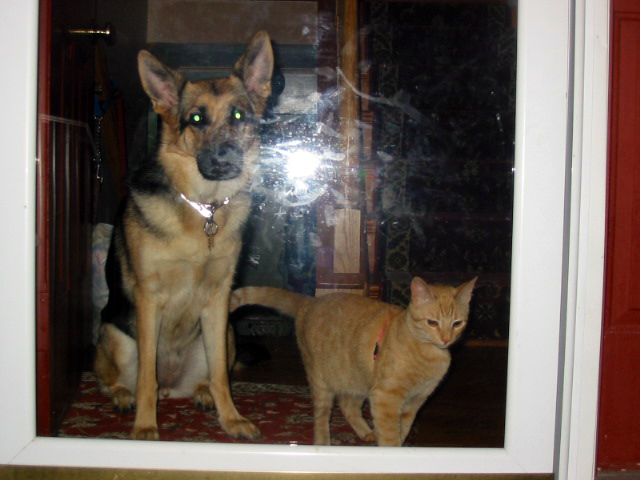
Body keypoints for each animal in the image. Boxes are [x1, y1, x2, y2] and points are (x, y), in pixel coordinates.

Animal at [93, 31, 272, 440]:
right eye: (196, 119)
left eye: (239, 115)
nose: (224, 158)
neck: (201, 209)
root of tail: (173, 388)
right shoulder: (149, 300)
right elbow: (146, 378)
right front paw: (145, 427)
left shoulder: (218, 300)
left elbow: (222, 375)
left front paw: (231, 418)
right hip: (116, 335)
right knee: (115, 378)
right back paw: (123, 396)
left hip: (226, 333)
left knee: (208, 376)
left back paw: (203, 395)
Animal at [229, 276, 476, 448]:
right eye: (432, 322)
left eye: (457, 323)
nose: (446, 339)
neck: (428, 354)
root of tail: (310, 300)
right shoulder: (385, 398)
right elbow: (391, 438)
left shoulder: (412, 405)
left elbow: (402, 432)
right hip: (322, 383)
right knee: (321, 417)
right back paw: (324, 444)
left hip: (356, 381)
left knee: (348, 407)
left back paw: (366, 432)